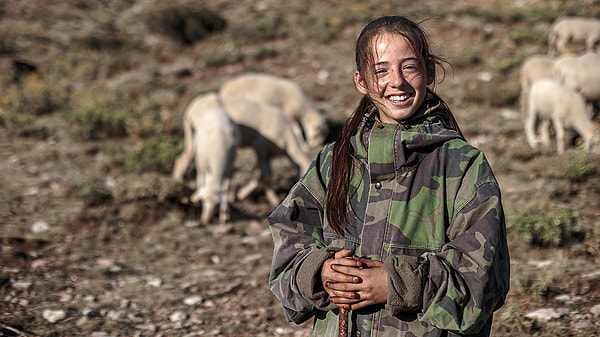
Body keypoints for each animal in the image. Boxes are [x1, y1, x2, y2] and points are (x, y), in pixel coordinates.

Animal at [171, 92, 239, 223]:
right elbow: (201, 180)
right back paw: (177, 179)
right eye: (204, 201)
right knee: (183, 158)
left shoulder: (229, 167)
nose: (205, 221)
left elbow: (225, 188)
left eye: (216, 204)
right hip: (192, 137)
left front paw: (224, 214)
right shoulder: (202, 163)